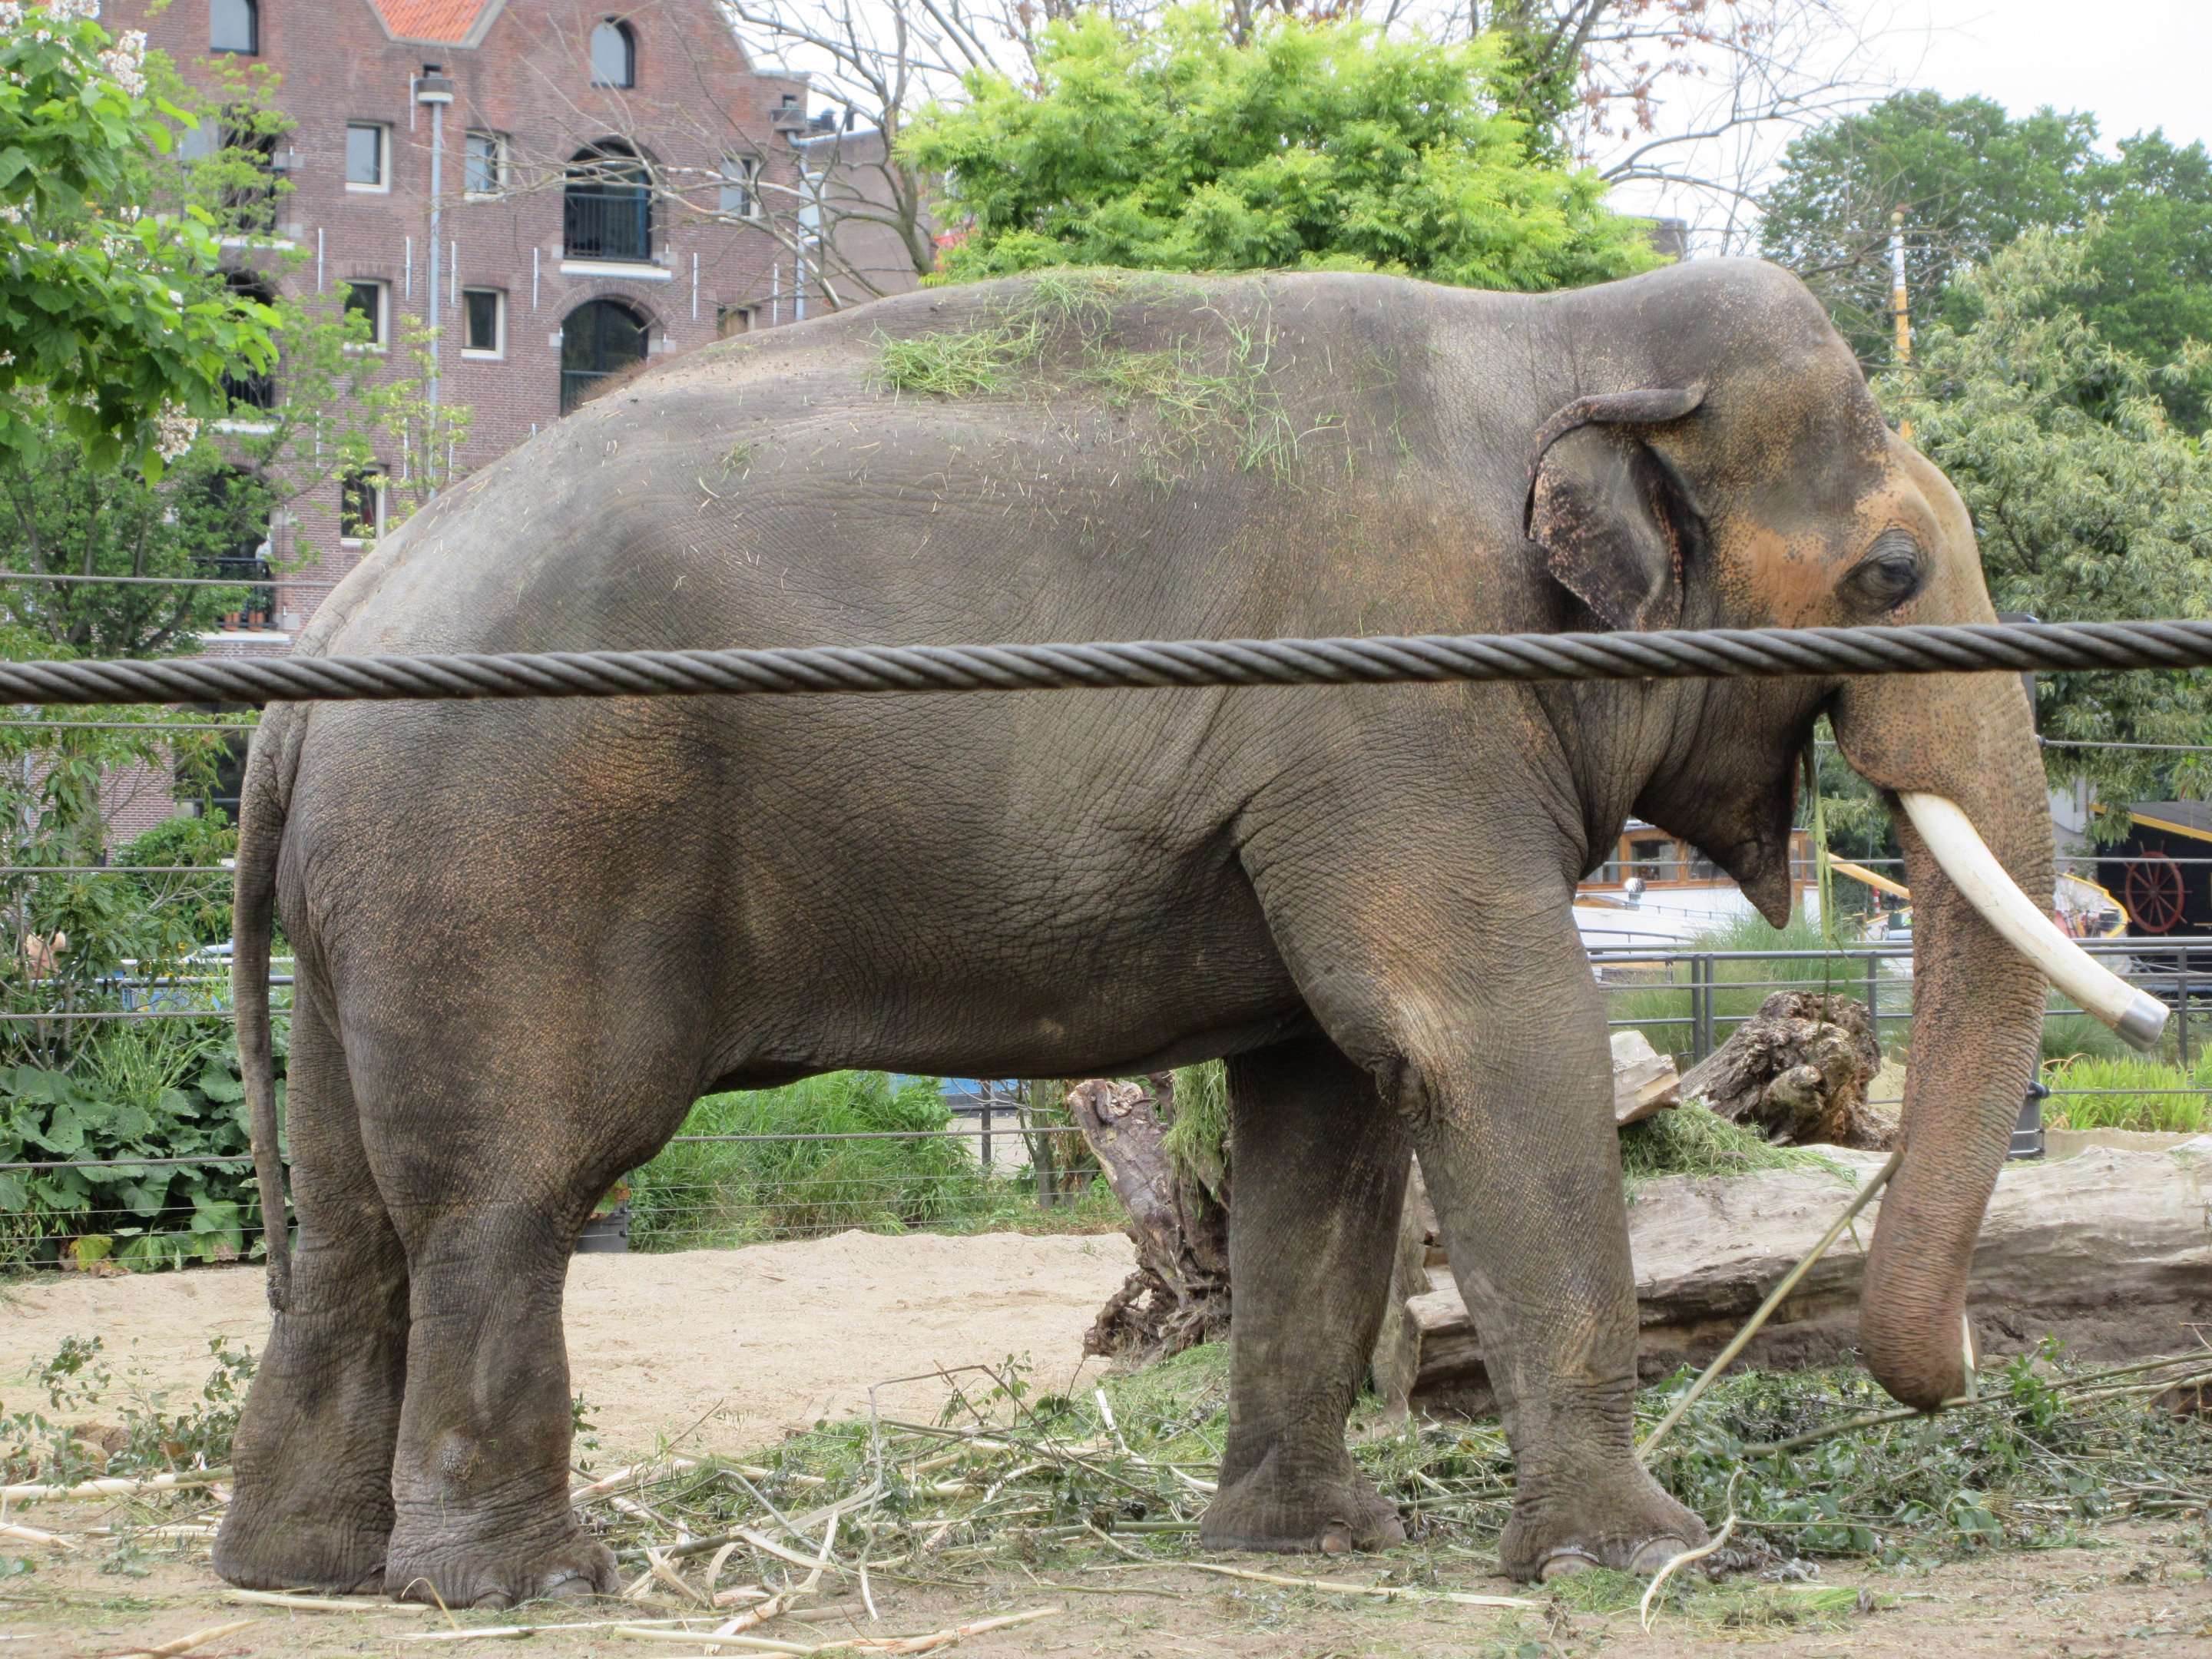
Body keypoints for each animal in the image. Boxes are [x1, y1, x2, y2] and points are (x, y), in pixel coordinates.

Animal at [212, 258, 2071, 1605]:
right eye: (1892, 575)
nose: (1968, 1367)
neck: (1562, 333)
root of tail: (325, 656)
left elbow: (1329, 1110)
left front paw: (1313, 1548)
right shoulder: (1398, 706)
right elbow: (1486, 1040)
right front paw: (1655, 1559)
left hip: (373, 903)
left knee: (353, 1215)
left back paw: (304, 1578)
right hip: (507, 846)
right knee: (506, 1197)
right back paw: (522, 1588)